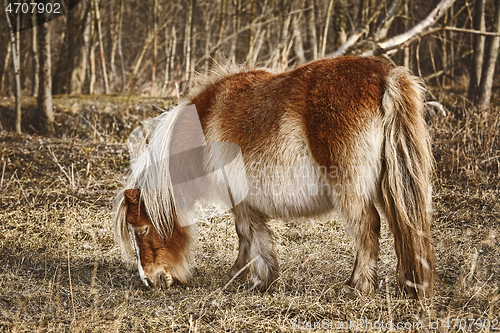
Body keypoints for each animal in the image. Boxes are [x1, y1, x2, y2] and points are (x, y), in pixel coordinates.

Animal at [113, 56, 434, 296]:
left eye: (142, 230)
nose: (149, 281)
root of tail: (384, 75)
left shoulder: (239, 199)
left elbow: (248, 233)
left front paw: (254, 278)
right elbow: (249, 236)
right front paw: (243, 275)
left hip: (351, 188)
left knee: (368, 226)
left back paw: (358, 285)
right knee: (403, 225)